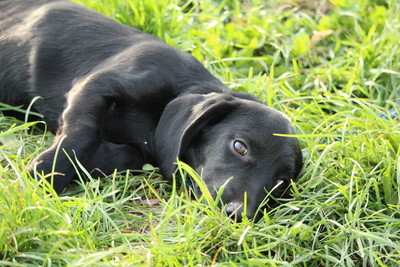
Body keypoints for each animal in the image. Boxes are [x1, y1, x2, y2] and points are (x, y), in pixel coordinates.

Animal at [0, 0, 300, 222]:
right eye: (240, 147)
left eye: (281, 182)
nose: (237, 215)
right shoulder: (98, 84)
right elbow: (82, 132)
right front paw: (46, 173)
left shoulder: (141, 147)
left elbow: (122, 155)